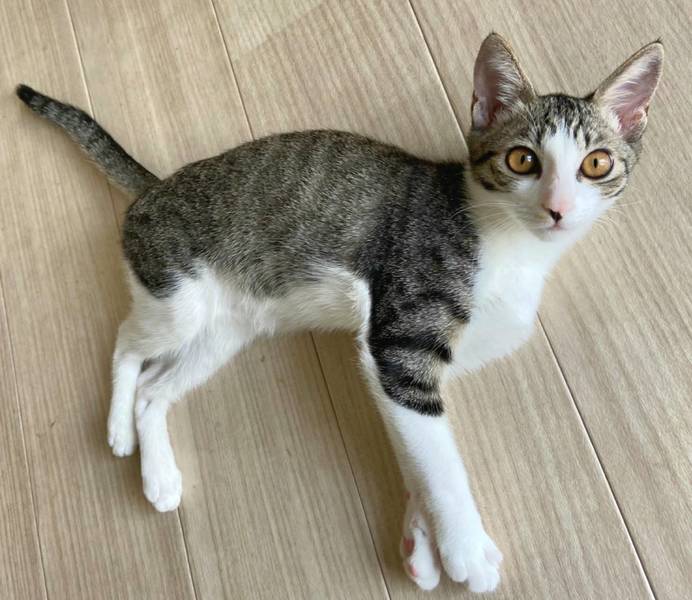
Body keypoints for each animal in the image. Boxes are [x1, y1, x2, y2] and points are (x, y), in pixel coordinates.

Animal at [17, 32, 663, 593]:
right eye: (523, 160)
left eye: (596, 165)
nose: (557, 209)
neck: (509, 246)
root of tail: (154, 187)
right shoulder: (400, 336)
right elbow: (439, 455)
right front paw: (465, 549)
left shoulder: (410, 365)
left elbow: (418, 443)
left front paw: (421, 541)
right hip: (177, 296)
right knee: (128, 341)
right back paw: (118, 429)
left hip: (226, 330)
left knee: (157, 388)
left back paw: (159, 475)